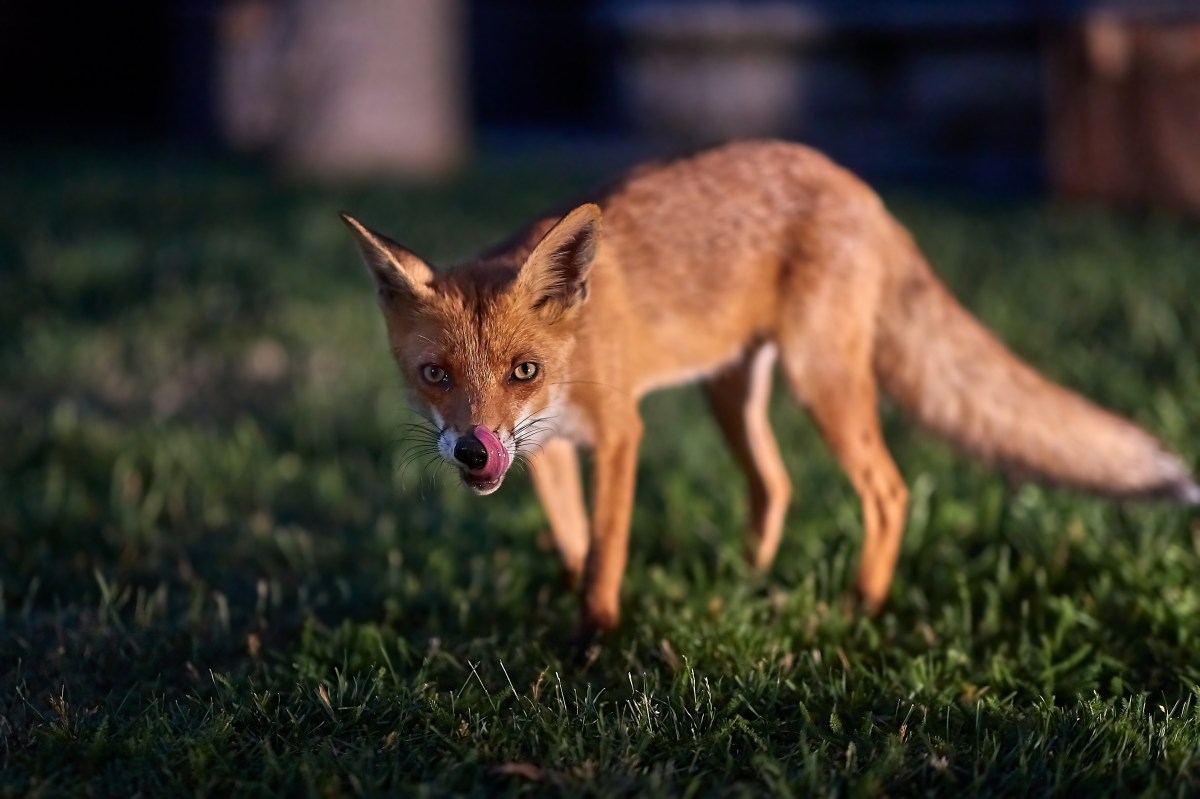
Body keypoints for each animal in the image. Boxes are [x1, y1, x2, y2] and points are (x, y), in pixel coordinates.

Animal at [340, 136, 1200, 633]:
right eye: (435, 375)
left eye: (524, 370)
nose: (474, 452)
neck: (574, 358)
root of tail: (858, 186)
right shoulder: (546, 449)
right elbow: (574, 539)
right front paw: (575, 607)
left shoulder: (618, 433)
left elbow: (608, 545)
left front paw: (597, 636)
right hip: (732, 393)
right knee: (776, 484)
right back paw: (749, 581)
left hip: (822, 383)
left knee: (887, 490)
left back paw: (861, 607)